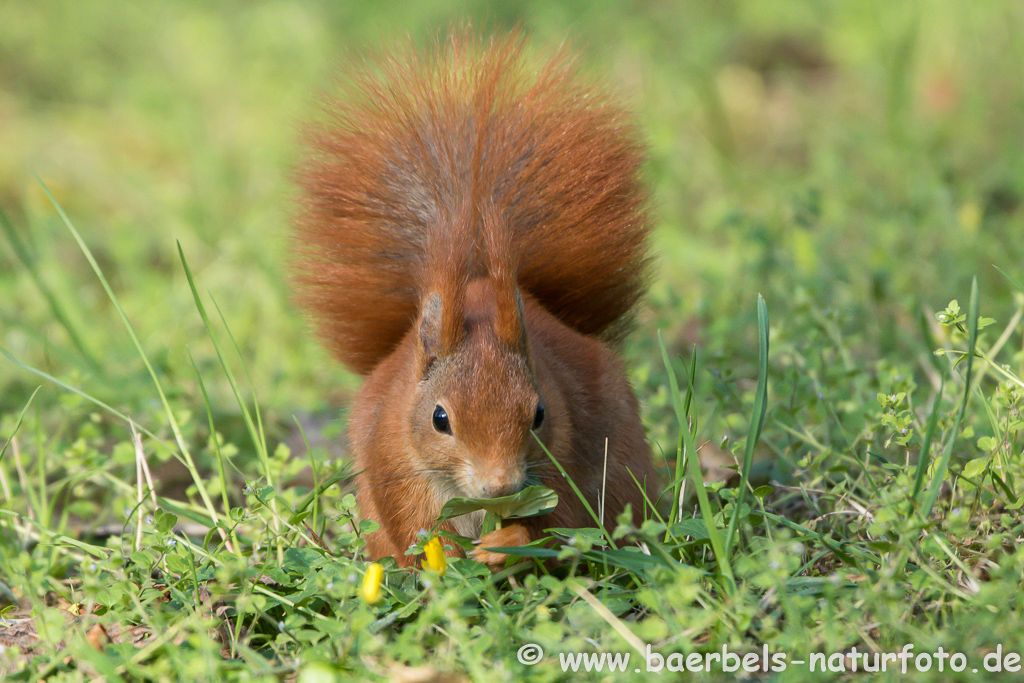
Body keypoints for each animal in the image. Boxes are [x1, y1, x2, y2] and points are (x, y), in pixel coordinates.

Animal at [290, 30, 655, 565]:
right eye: (439, 418)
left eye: (539, 413)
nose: (499, 486)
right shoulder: (395, 465)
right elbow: (415, 526)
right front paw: (448, 553)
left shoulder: (563, 460)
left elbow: (558, 523)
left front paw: (503, 544)